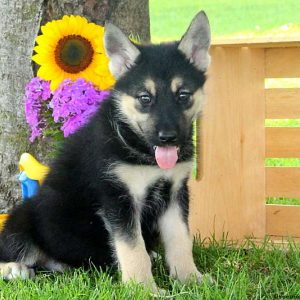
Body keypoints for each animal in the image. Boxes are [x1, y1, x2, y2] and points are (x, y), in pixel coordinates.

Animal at [0, 11, 211, 290]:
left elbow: (180, 240)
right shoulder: (118, 199)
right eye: (145, 98)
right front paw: (144, 289)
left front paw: (190, 279)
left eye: (183, 95)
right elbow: (133, 250)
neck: (140, 150)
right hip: (25, 214)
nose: (168, 138)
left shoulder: (175, 193)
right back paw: (14, 268)